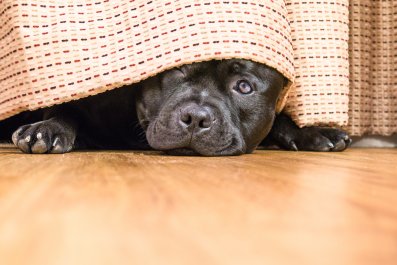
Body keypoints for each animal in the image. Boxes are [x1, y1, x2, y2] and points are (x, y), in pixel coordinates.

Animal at [4, 59, 348, 155]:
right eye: (178, 69)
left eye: (244, 87)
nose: (196, 117)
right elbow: (63, 109)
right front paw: (47, 129)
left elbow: (278, 120)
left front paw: (314, 131)